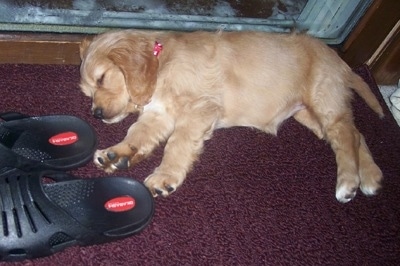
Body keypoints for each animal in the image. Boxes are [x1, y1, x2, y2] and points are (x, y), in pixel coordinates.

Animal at [79, 29, 384, 203]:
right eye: (87, 92)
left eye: (102, 79)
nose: (96, 113)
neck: (163, 62)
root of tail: (342, 63)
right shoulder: (160, 113)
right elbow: (137, 134)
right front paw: (116, 154)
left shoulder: (200, 109)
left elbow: (177, 144)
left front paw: (165, 177)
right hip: (309, 114)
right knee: (356, 133)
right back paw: (370, 177)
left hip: (324, 99)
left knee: (345, 135)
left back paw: (349, 182)